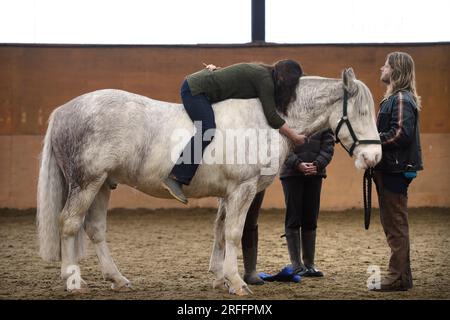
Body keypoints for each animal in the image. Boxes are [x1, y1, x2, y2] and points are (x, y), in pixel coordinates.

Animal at [37, 67, 380, 296]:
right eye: (362, 111)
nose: (374, 158)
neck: (266, 119)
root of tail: (64, 111)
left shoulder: (228, 193)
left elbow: (219, 231)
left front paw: (219, 278)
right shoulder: (242, 189)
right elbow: (233, 234)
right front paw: (237, 282)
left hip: (102, 185)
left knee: (95, 230)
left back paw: (117, 279)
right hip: (86, 182)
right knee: (69, 223)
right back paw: (73, 281)